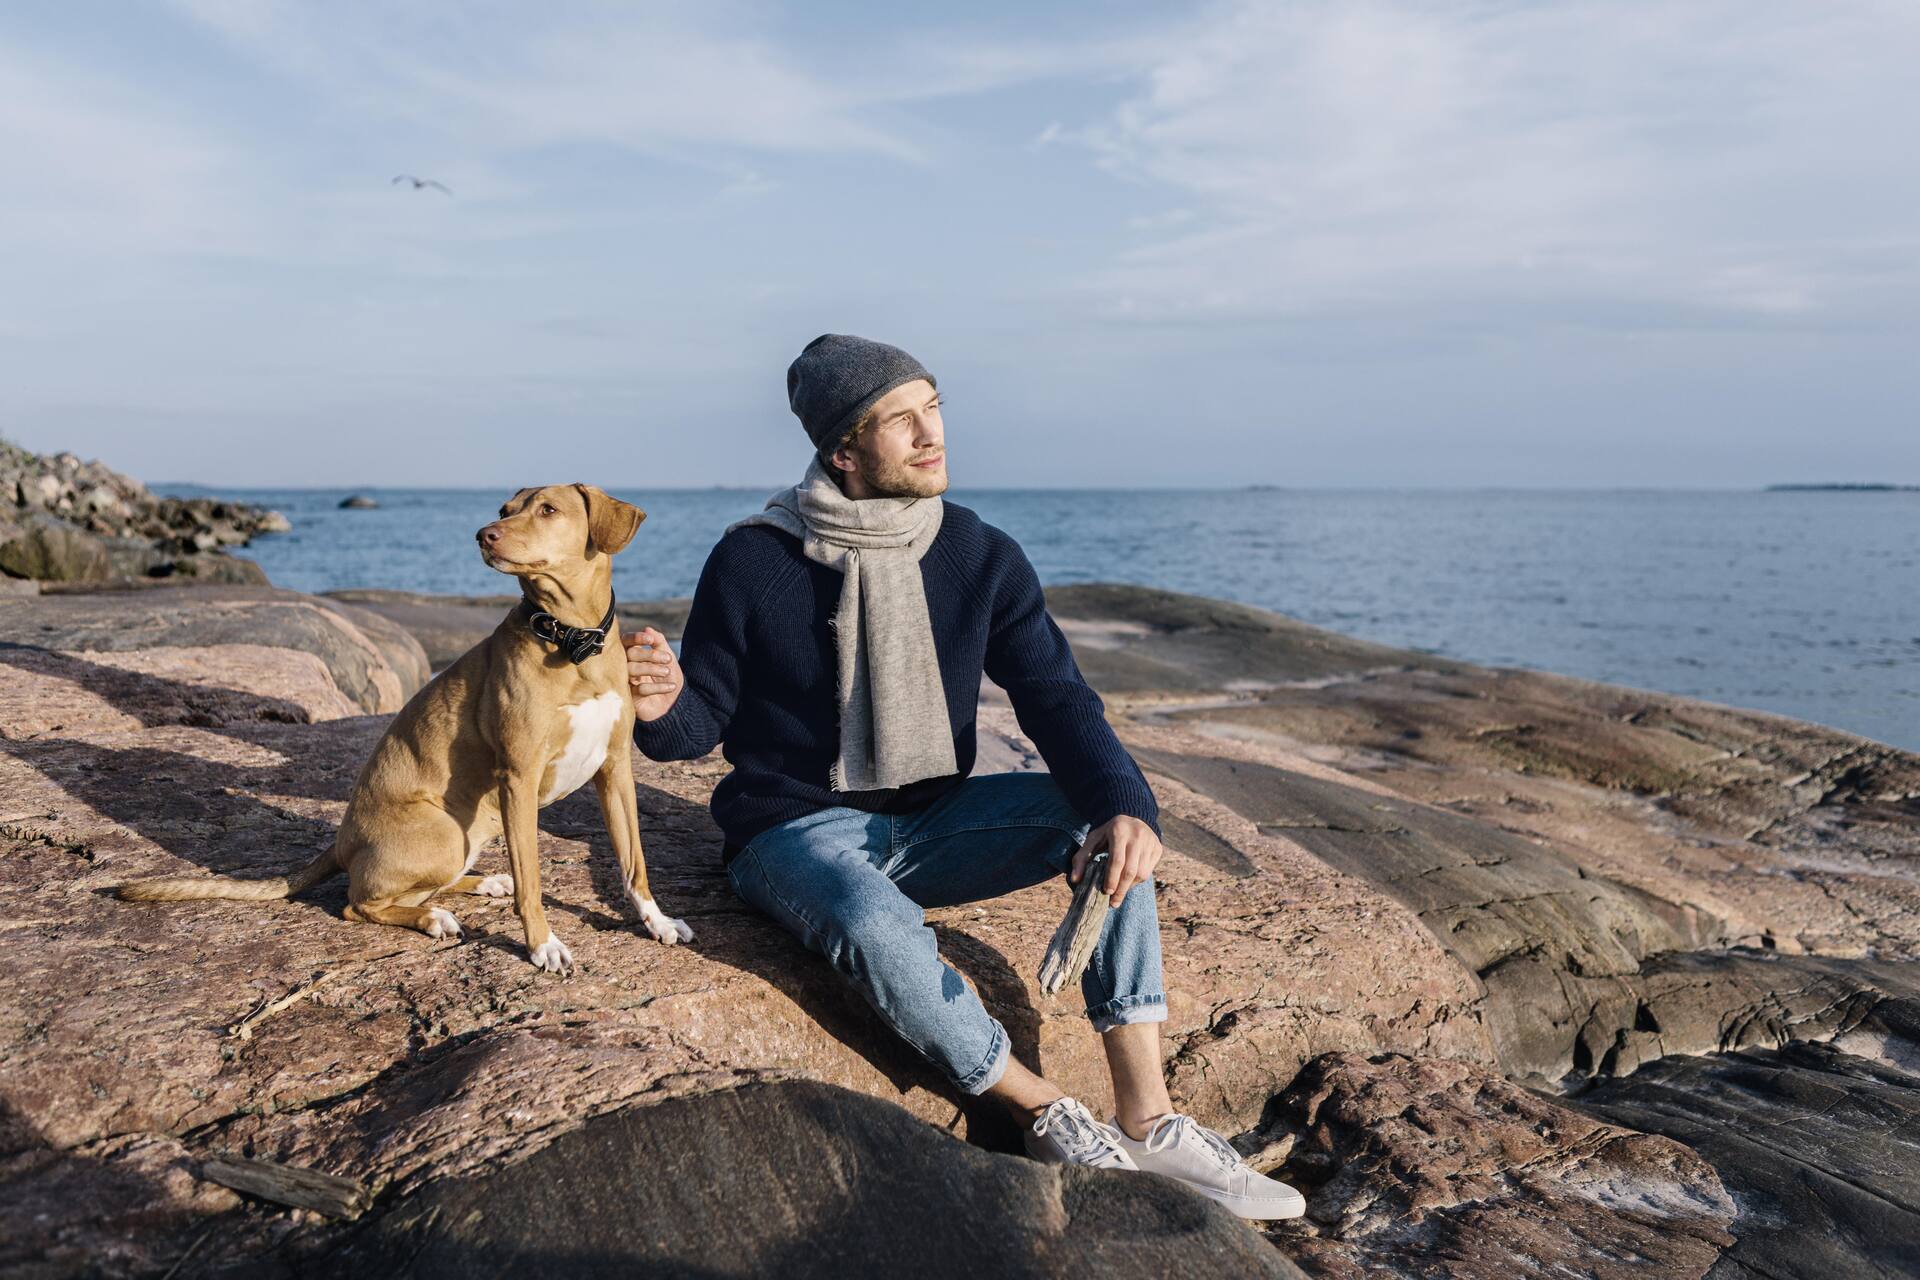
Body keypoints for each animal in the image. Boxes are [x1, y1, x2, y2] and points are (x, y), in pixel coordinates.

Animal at [116, 479, 695, 971]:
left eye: (548, 509)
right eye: (505, 509)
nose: (484, 534)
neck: (572, 642)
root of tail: (342, 843)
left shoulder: (615, 771)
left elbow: (634, 863)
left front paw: (658, 921)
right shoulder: (519, 779)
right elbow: (533, 881)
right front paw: (542, 945)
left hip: (469, 832)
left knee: (420, 887)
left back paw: (480, 886)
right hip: (445, 833)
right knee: (359, 903)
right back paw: (434, 917)